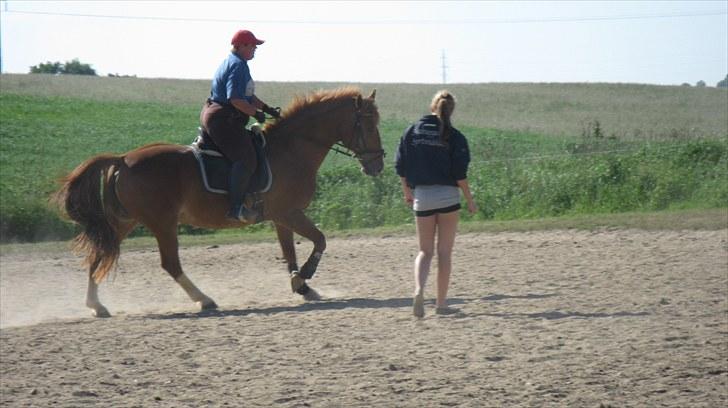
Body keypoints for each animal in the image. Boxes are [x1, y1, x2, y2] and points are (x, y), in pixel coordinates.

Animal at [54, 87, 384, 318]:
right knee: (170, 263)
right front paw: (305, 276)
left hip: (126, 221)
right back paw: (204, 299)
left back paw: (96, 306)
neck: (293, 149)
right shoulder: (289, 212)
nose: (378, 165)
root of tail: (123, 158)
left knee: (100, 254)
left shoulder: (281, 216)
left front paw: (301, 285)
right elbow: (320, 240)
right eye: (368, 126)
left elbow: (289, 250)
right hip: (162, 222)